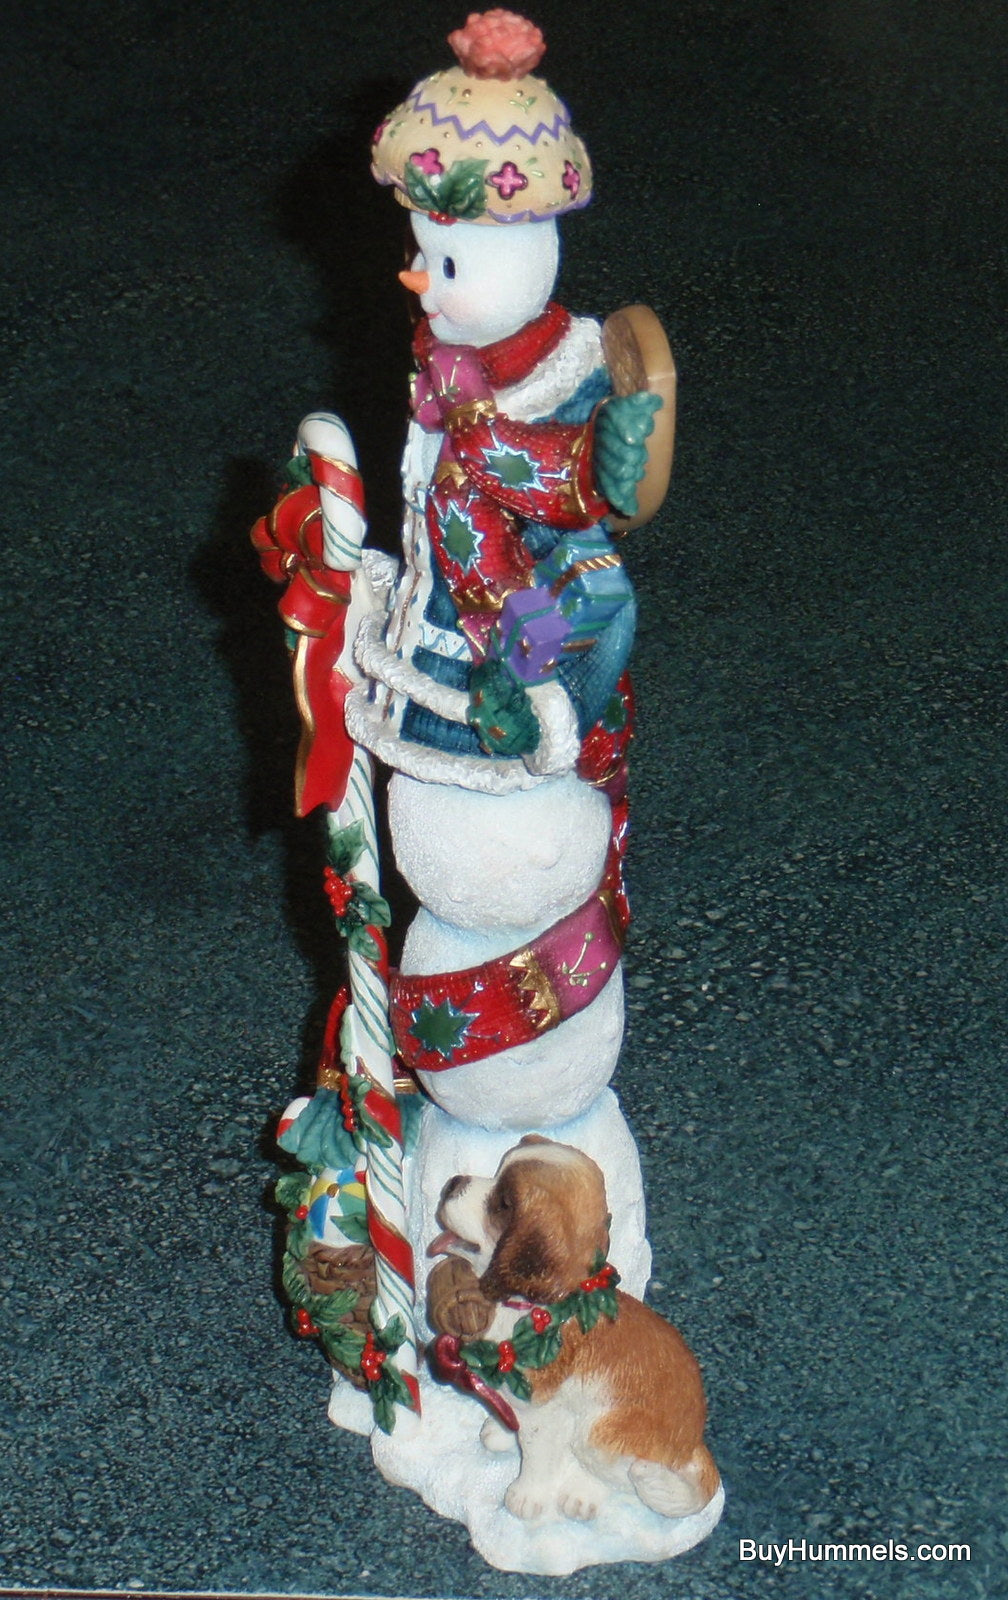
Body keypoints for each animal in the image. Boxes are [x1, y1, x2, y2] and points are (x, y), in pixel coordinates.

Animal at [432, 1139, 723, 1523]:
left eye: (503, 1204)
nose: (452, 1183)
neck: (536, 1310)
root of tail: (692, 1444)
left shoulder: (545, 1411)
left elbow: (538, 1453)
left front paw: (528, 1495)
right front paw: (503, 1431)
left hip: (598, 1434)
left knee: (618, 1476)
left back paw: (583, 1493)